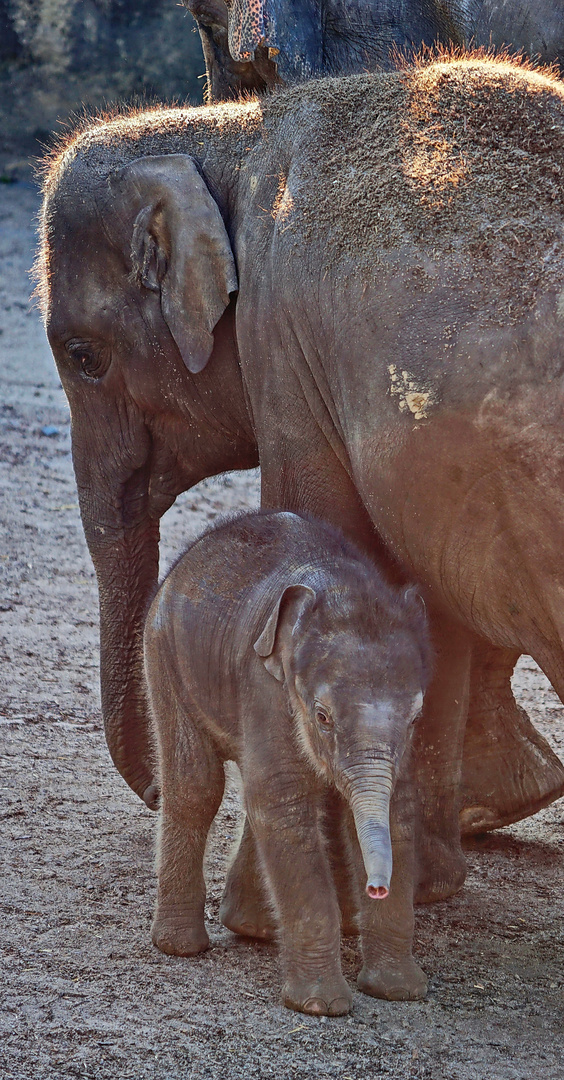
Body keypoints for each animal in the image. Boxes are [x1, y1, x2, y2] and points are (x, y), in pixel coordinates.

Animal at [142, 509, 427, 1015]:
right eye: (322, 716)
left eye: (416, 717)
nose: (377, 886)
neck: (344, 588)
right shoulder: (267, 686)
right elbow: (283, 803)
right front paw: (320, 1006)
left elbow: (399, 810)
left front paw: (398, 991)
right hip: (165, 654)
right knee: (196, 786)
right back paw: (181, 947)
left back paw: (254, 928)